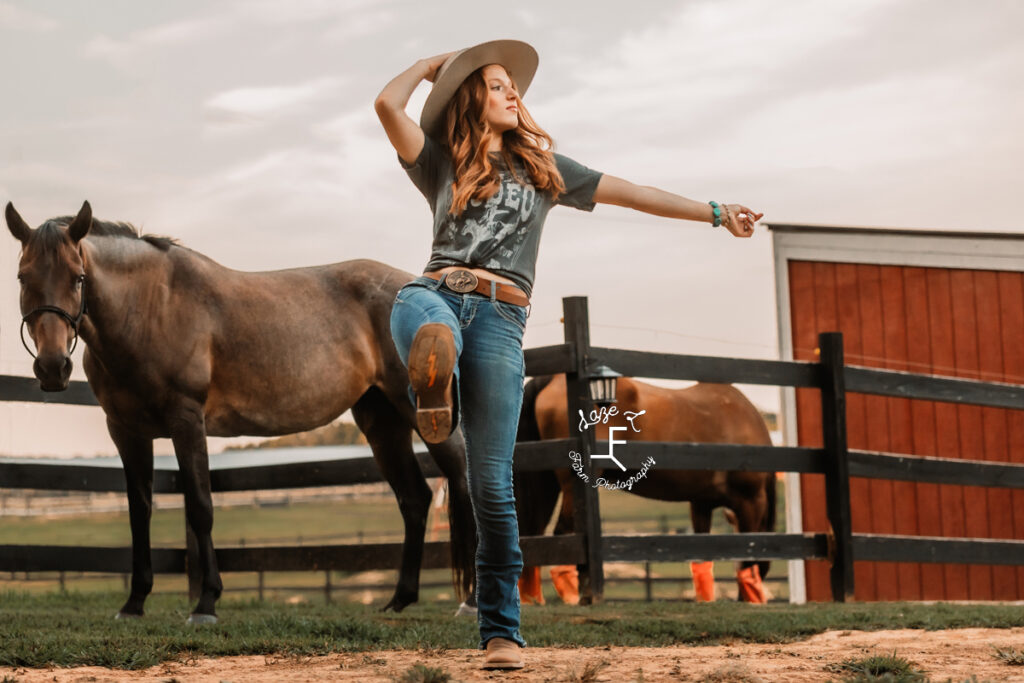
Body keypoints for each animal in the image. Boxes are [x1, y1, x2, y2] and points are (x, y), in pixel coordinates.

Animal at [4, 201, 475, 626]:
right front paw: (134, 604)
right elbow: (140, 512)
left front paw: (206, 603)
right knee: (414, 499)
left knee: (462, 481)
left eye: (78, 278)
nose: (52, 367)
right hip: (380, 419)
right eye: (23, 277)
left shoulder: (186, 421)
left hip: (422, 410)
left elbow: (200, 507)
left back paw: (469, 602)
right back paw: (399, 600)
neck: (151, 308)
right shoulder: (125, 431)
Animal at [512, 374, 774, 602]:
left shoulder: (701, 505)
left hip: (546, 484)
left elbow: (704, 555)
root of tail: (555, 380)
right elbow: (749, 555)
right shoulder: (750, 502)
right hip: (570, 487)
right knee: (563, 533)